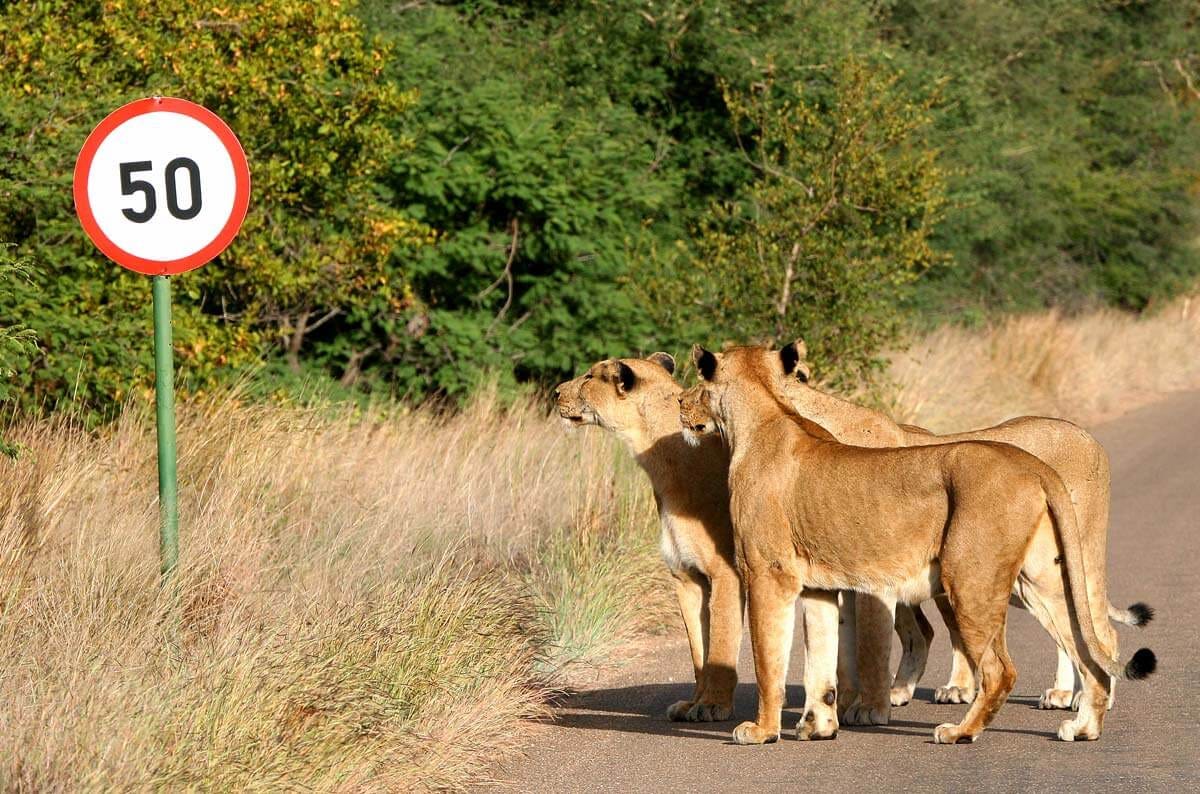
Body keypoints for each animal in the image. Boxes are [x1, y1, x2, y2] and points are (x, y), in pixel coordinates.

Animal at [554, 354, 846, 736]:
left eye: (589, 376)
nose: (556, 392)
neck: (660, 464)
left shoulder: (727, 572)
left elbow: (720, 643)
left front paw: (712, 706)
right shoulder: (685, 576)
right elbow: (698, 649)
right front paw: (692, 703)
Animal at [682, 342, 1155, 745]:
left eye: (699, 382)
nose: (681, 404)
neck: (767, 413)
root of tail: (1033, 465)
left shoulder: (769, 574)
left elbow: (771, 658)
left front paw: (763, 730)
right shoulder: (819, 586)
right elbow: (822, 660)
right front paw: (819, 725)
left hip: (972, 578)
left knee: (1006, 668)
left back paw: (962, 731)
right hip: (1040, 582)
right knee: (1085, 646)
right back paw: (1084, 725)